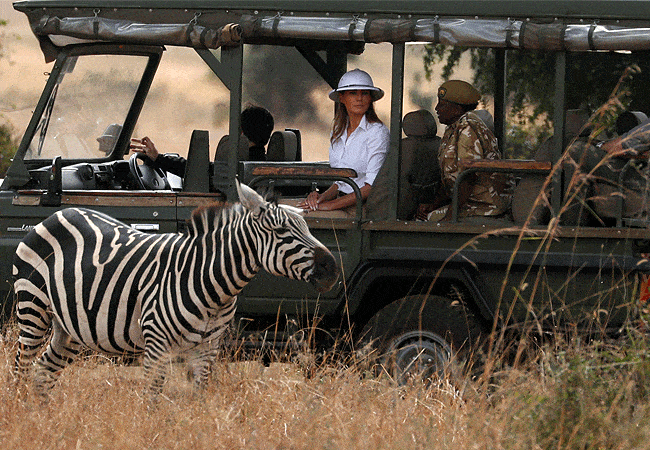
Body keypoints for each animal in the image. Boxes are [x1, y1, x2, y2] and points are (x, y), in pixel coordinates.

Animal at [12, 181, 340, 396]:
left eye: (309, 227)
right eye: (282, 231)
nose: (332, 269)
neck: (213, 287)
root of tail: (59, 212)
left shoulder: (207, 348)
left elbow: (199, 397)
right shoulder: (156, 343)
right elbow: (152, 396)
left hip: (71, 324)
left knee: (45, 368)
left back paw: (43, 416)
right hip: (33, 309)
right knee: (22, 364)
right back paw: (22, 413)